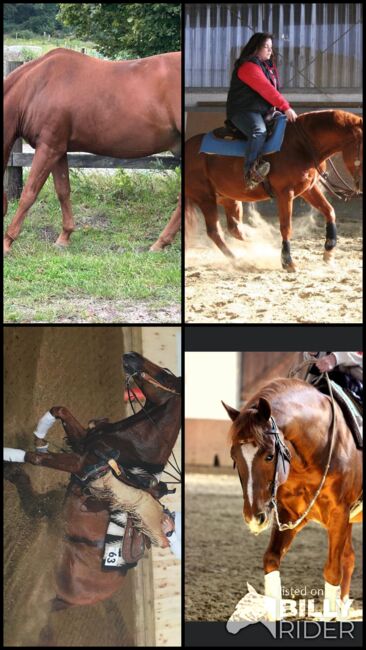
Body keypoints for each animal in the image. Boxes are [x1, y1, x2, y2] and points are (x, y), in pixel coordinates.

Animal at [2, 48, 180, 254]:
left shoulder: (48, 148)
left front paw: (7, 241)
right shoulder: (58, 150)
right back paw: (162, 242)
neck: (36, 87)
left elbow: (28, 194)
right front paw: (64, 237)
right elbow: (63, 190)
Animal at [2, 350, 180, 632]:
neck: (133, 449)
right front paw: (40, 435)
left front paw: (11, 454)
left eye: (164, 376)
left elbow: (36, 458)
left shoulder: (82, 463)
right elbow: (59, 410)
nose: (132, 356)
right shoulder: (82, 444)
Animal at [187, 109, 362, 268]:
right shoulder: (285, 193)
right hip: (206, 198)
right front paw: (288, 262)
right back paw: (236, 259)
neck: (301, 145)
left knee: (235, 229)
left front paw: (329, 252)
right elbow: (286, 226)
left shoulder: (309, 189)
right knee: (215, 231)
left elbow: (329, 211)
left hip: (229, 199)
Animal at [222, 378, 362, 620]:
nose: (254, 518)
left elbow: (332, 571)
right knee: (349, 558)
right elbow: (271, 559)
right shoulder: (290, 516)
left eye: (269, 455)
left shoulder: (339, 516)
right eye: (234, 456)